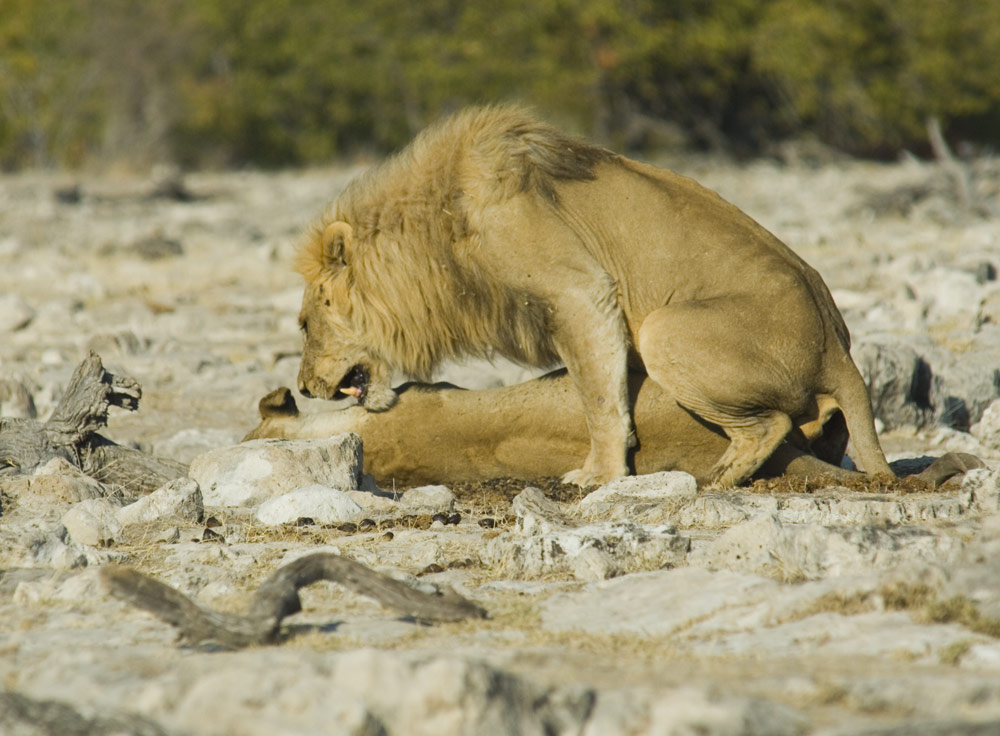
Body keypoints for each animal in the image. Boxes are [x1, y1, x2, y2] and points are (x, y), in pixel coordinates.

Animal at [294, 102, 892, 484]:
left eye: (303, 324)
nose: (302, 388)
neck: (436, 233)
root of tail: (838, 350)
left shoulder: (580, 293)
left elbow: (599, 399)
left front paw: (598, 475)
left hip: (663, 329)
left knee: (771, 423)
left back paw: (719, 477)